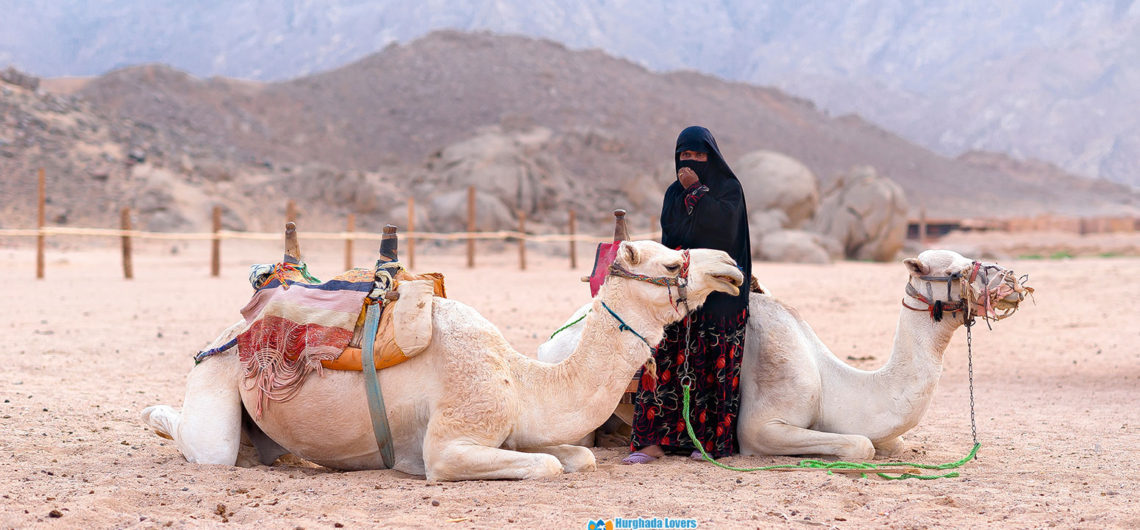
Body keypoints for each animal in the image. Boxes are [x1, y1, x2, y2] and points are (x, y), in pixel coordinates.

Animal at [140, 238, 738, 478]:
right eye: (669, 265)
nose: (731, 266)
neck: (522, 379)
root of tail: (234, 329)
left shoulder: (515, 430)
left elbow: (580, 456)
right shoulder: (450, 445)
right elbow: (544, 464)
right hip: (217, 372)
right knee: (210, 447)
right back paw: (152, 415)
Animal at [535, 248, 1035, 458]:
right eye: (954, 271)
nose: (1012, 281)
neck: (836, 382)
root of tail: (547, 345)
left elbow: (890, 441)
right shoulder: (763, 426)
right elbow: (860, 445)